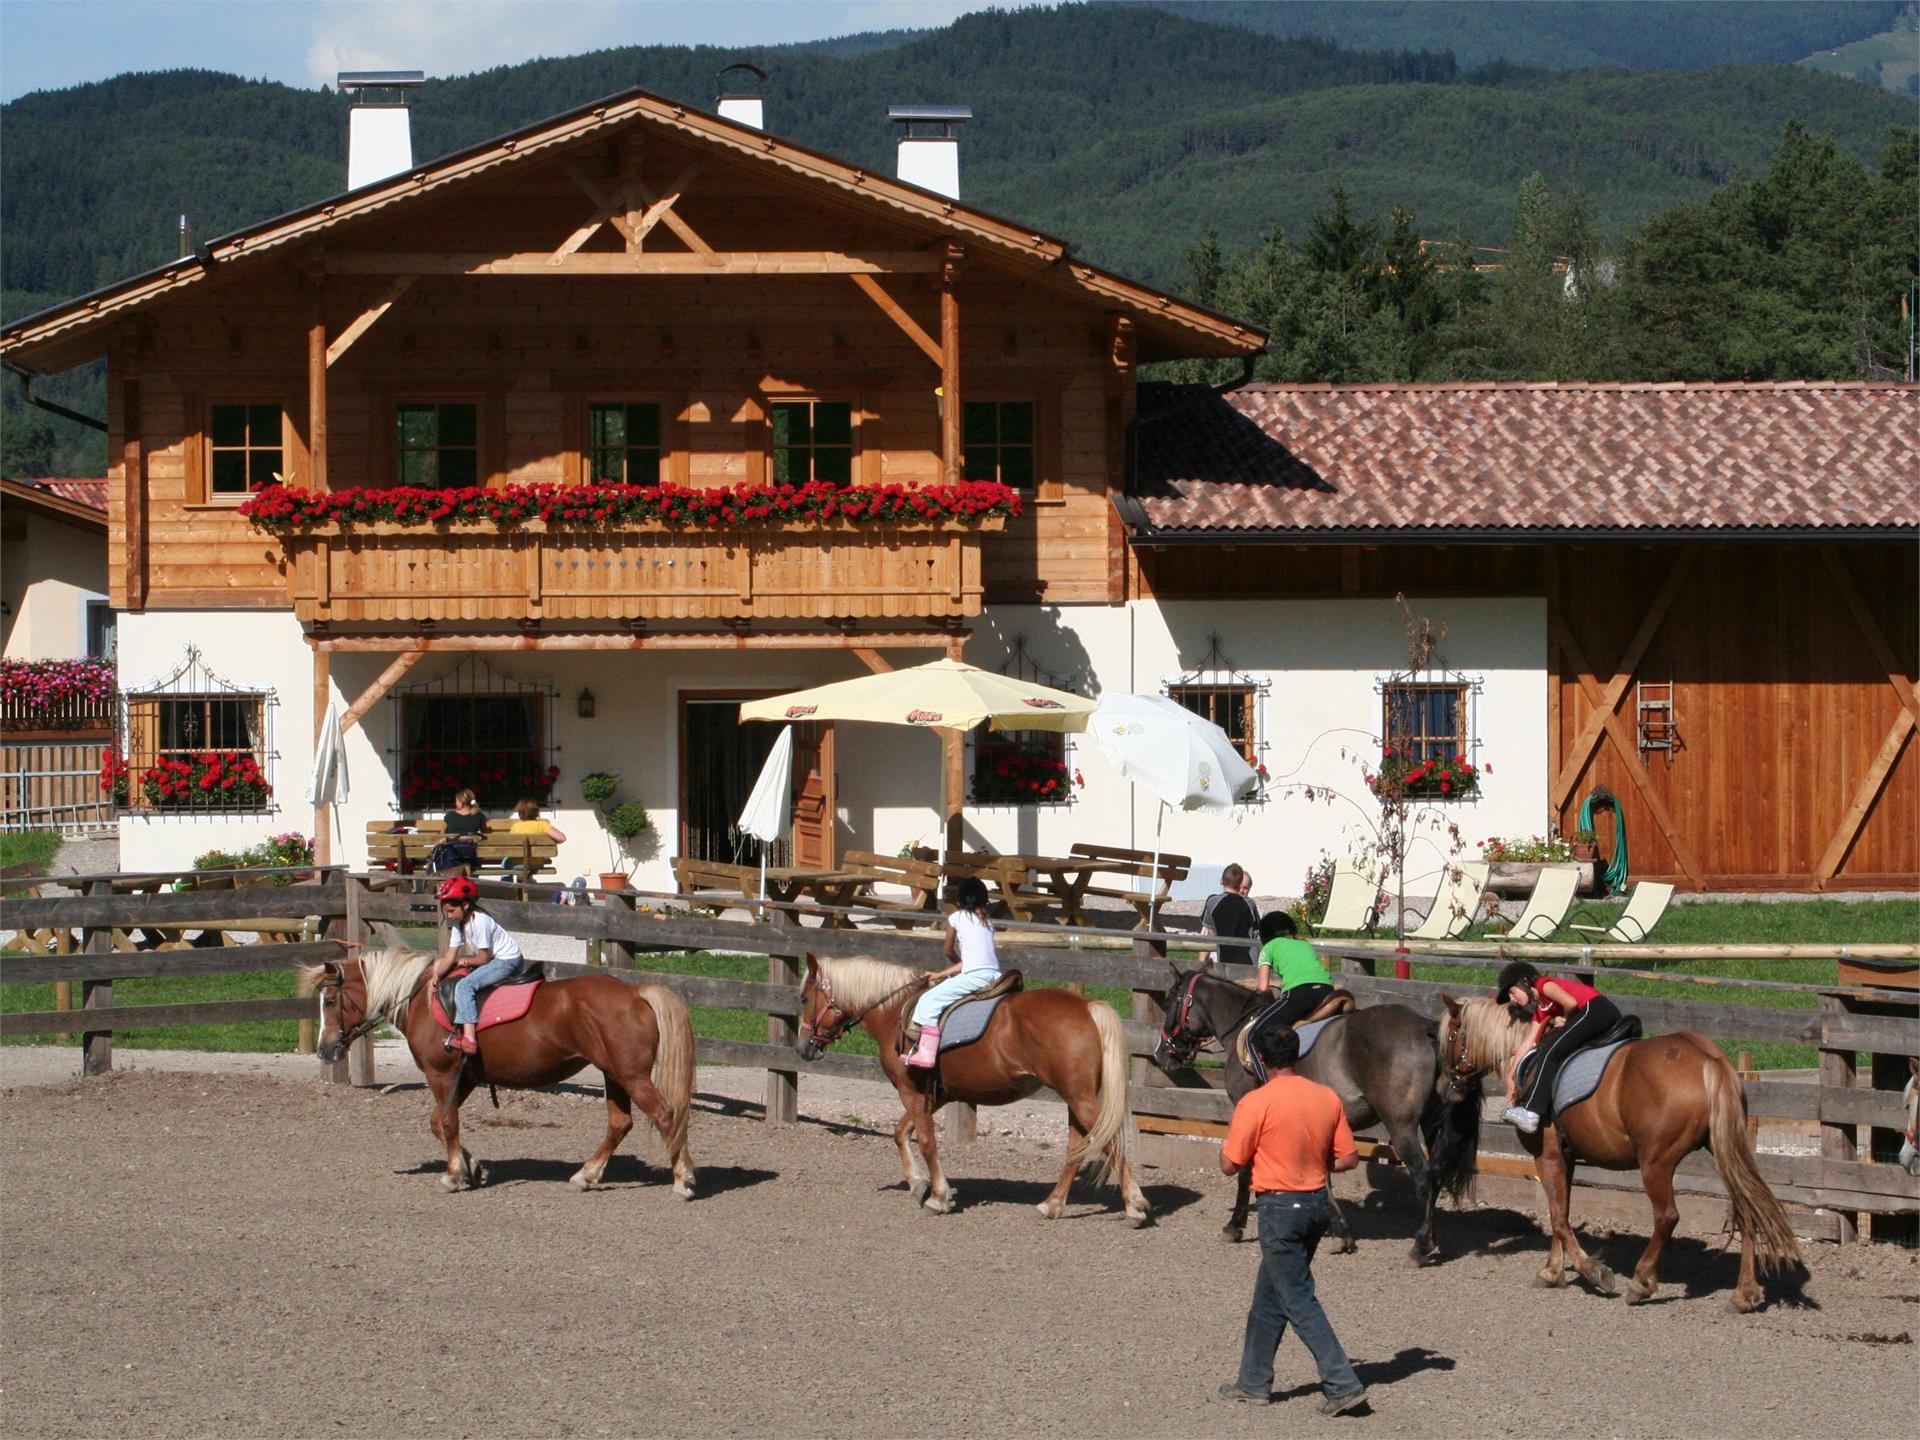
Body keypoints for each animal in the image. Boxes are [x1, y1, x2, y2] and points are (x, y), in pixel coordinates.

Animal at [295, 952, 695, 1198]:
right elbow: (438, 1122)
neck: (422, 999)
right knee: (620, 1124)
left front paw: (453, 1175)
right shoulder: (465, 1078)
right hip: (615, 1074)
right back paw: (587, 1175)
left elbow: (447, 1122)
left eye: (330, 1001)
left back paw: (683, 1180)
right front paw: (471, 1166)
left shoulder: (442, 1075)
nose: (324, 1049)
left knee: (665, 1115)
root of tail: (635, 992)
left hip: (632, 1075)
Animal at [798, 960, 1152, 1228]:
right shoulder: (936, 1095)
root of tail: (1087, 1006)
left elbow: (926, 1142)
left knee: (1110, 1142)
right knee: (1078, 1147)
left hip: (1080, 1098)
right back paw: (1052, 1204)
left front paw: (938, 1196)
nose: (803, 1048)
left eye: (803, 998)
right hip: (1076, 1098)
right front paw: (917, 1183)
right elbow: (900, 1132)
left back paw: (1134, 1206)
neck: (895, 1012)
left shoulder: (912, 1093)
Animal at [1144, 971, 1474, 1259]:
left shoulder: (1249, 1113)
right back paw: (1431, 1238)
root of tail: (1424, 1027)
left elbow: (1246, 1170)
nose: (1161, 1052)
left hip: (1401, 1127)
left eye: (1171, 1000)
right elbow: (1319, 1175)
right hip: (1432, 1125)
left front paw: (1235, 1225)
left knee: (1424, 1176)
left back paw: (1420, 1245)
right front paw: (1340, 1232)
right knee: (1437, 1174)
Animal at [1443, 998, 1797, 1313]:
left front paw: (1592, 1270)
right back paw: (1744, 1294)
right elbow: (1561, 1211)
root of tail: (1707, 1059)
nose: (1450, 1086)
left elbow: (1558, 1217)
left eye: (1451, 1035)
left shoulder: (1548, 1155)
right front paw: (1552, 1271)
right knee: (1746, 1210)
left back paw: (1641, 1282)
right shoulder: (1566, 1156)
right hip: (1723, 1150)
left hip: (1656, 1162)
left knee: (1667, 1216)